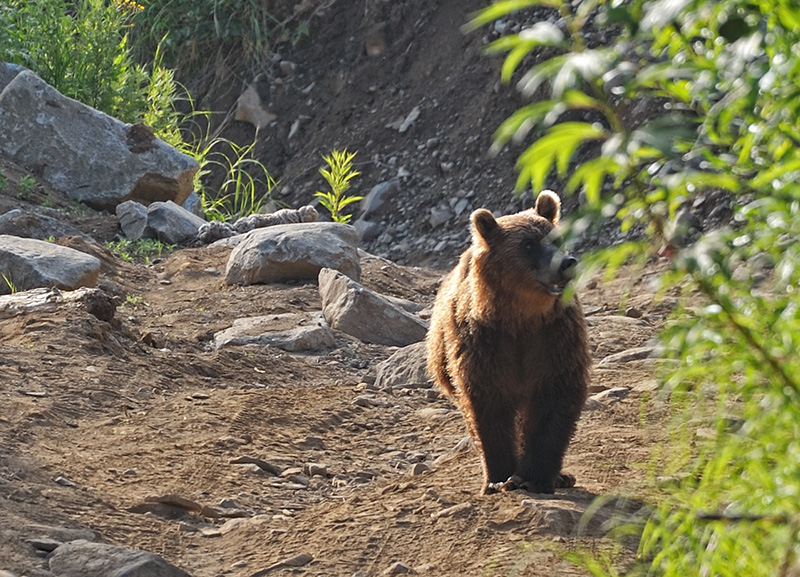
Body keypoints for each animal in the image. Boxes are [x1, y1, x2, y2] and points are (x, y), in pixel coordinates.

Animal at [428, 191, 592, 492]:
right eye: (528, 244)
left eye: (556, 239)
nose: (566, 264)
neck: (520, 318)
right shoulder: (483, 342)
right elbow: (488, 404)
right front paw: (500, 476)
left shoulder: (554, 337)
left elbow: (555, 399)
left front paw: (535, 476)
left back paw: (562, 476)